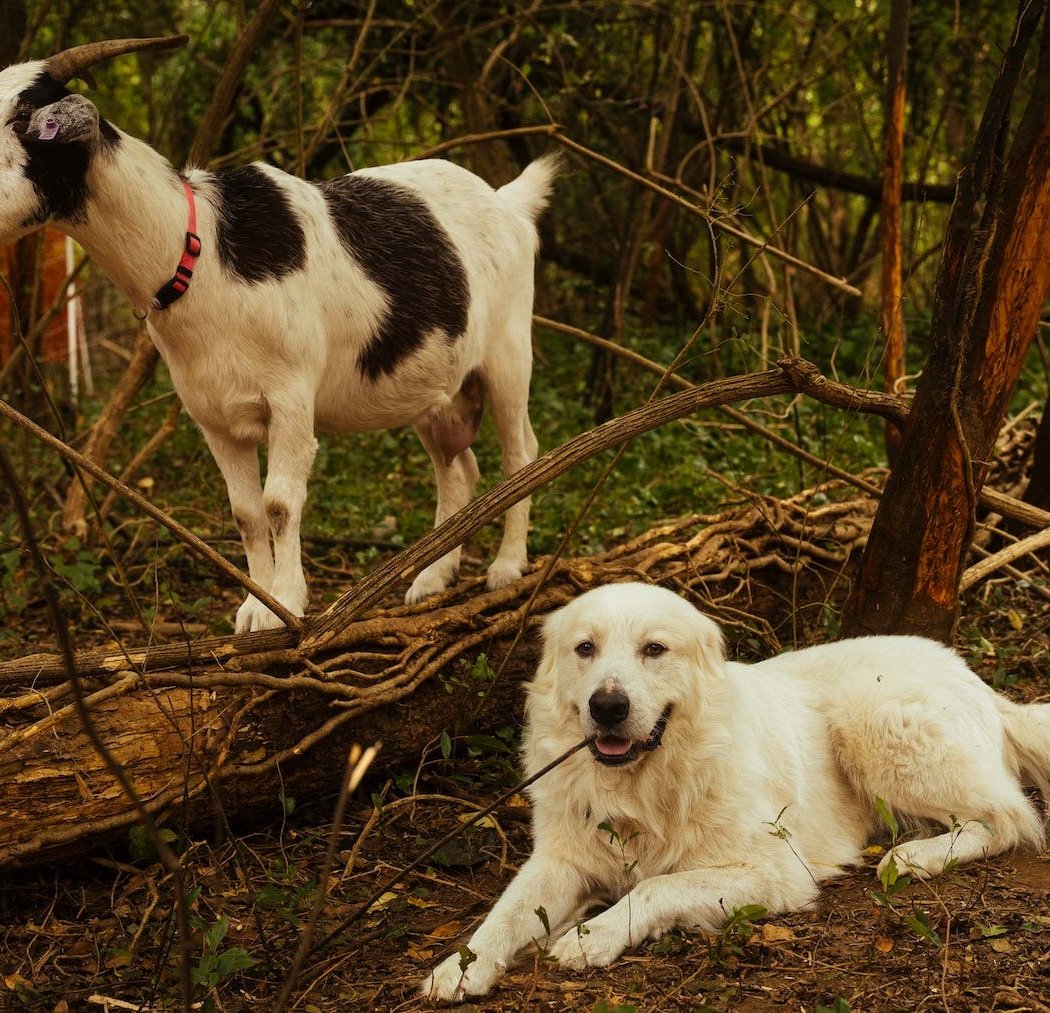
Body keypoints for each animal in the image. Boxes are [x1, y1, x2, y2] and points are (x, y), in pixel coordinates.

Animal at [0, 36, 555, 632]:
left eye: (22, 120)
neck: (200, 250)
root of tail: (508, 203)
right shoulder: (213, 417)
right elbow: (245, 513)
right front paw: (255, 607)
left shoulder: (290, 397)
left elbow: (280, 503)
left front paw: (287, 601)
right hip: (435, 384)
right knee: (458, 468)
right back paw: (433, 577)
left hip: (509, 351)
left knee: (521, 454)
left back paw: (506, 566)